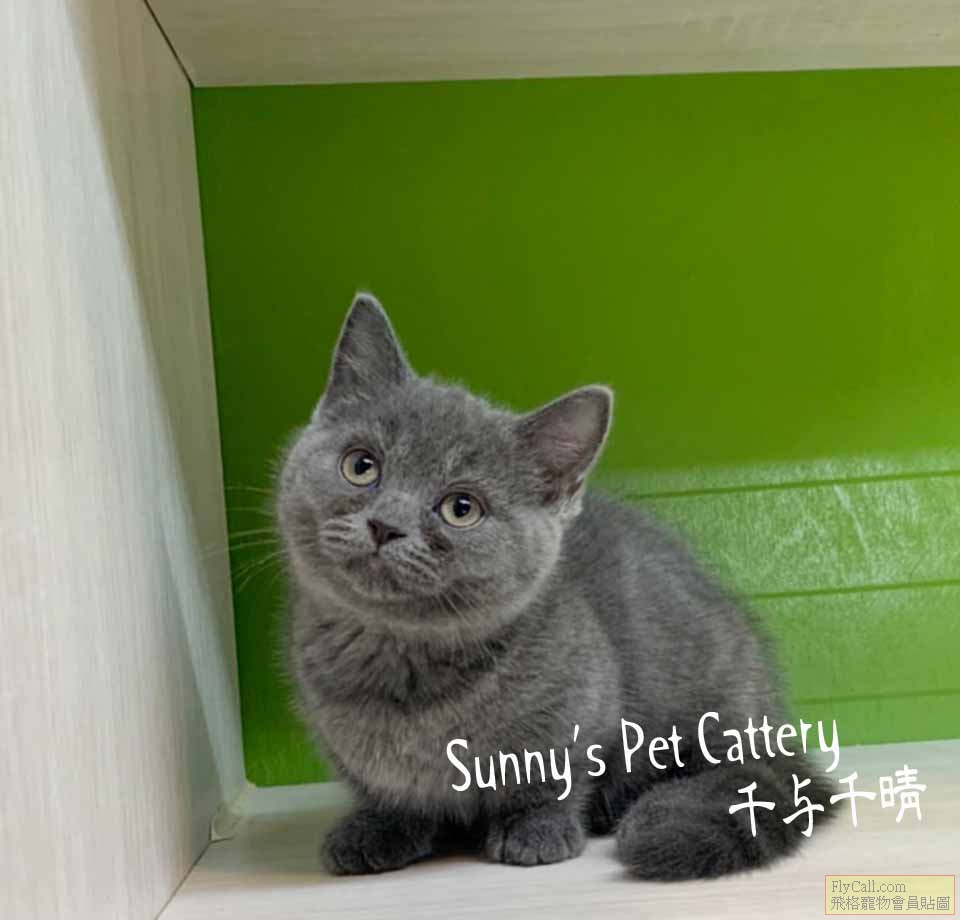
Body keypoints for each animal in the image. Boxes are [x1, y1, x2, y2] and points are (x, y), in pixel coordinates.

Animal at [277, 292, 834, 880]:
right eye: (362, 466)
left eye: (461, 508)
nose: (386, 525)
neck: (400, 663)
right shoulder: (341, 743)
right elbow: (384, 791)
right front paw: (379, 827)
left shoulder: (584, 706)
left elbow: (552, 776)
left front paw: (537, 829)